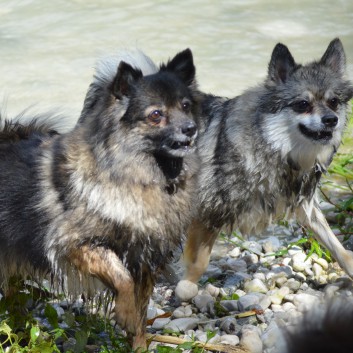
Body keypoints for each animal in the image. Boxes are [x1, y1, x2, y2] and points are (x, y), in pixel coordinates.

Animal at [0, 48, 198, 348]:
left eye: (185, 106)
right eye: (156, 115)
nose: (191, 128)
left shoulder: (144, 261)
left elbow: (141, 315)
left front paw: (139, 344)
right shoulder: (76, 245)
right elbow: (122, 278)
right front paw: (125, 314)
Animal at [175, 38, 352, 300]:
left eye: (334, 102)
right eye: (303, 104)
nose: (331, 120)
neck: (271, 142)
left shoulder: (305, 206)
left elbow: (337, 246)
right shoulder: (208, 211)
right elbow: (200, 261)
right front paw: (186, 286)